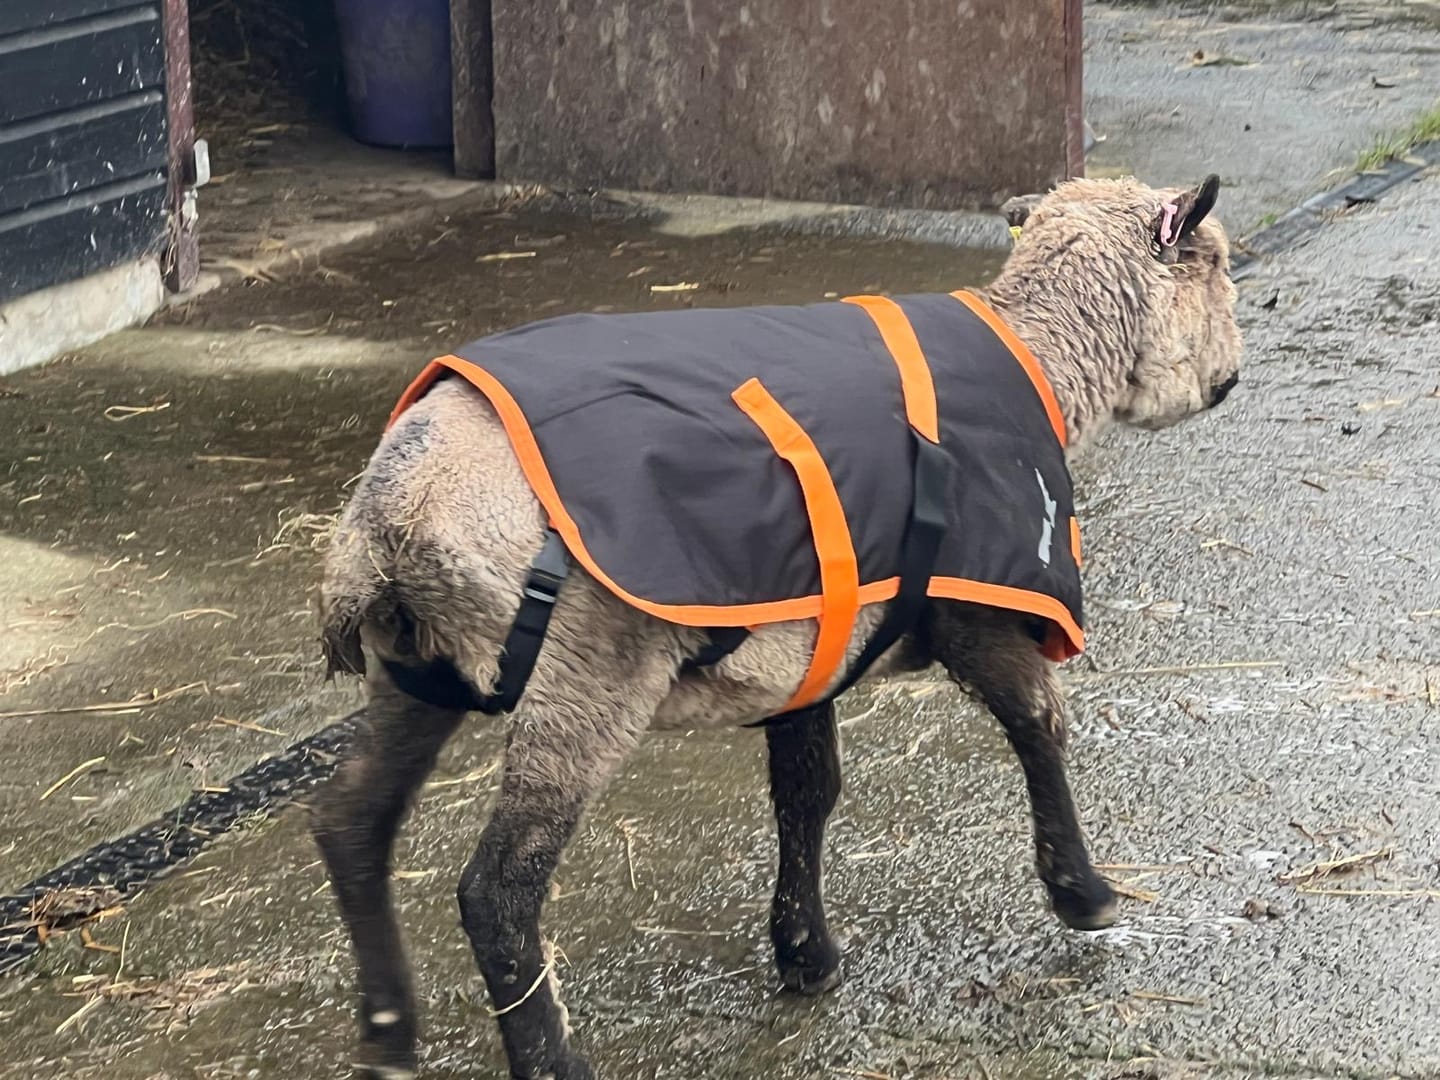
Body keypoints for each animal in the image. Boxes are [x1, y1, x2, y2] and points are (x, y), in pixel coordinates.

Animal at [309, 174, 1243, 1080]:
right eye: (1214, 264)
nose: (1231, 377)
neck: (1046, 354)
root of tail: (390, 518)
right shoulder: (974, 607)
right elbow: (1038, 724)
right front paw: (1084, 894)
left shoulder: (816, 634)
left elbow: (807, 790)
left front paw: (804, 952)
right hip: (585, 675)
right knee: (498, 890)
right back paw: (549, 1058)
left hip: (415, 673)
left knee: (352, 821)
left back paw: (388, 1035)